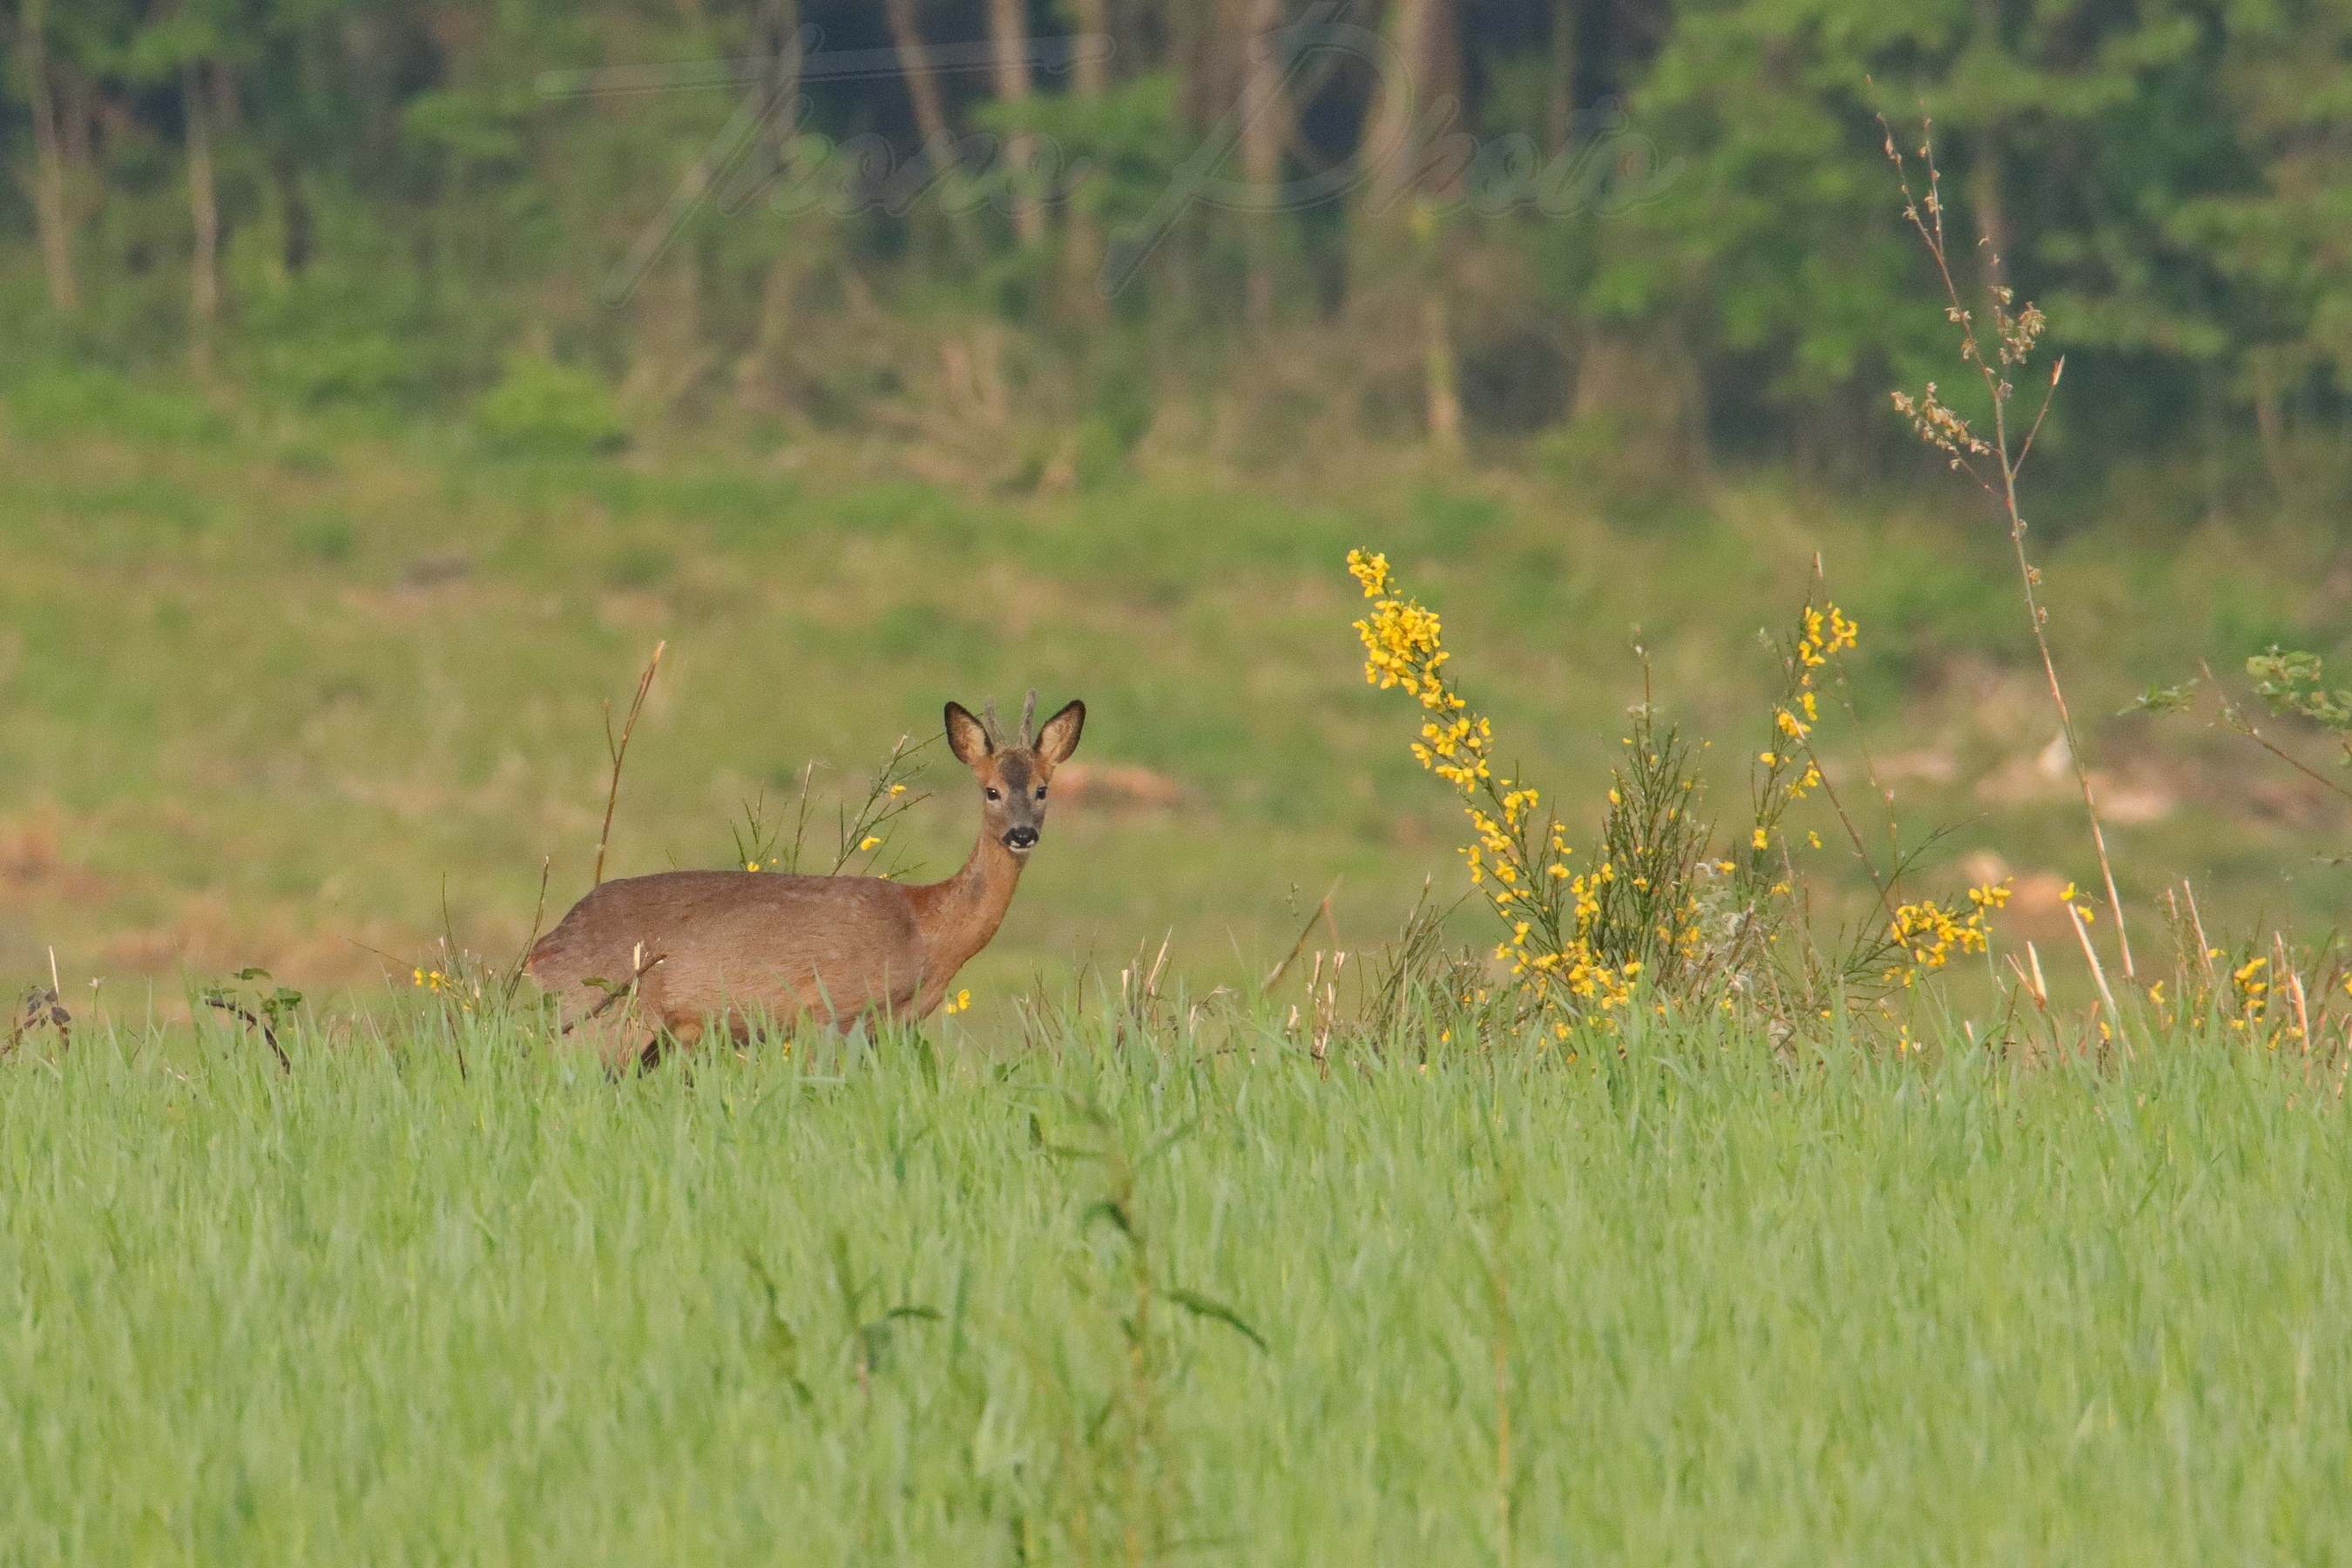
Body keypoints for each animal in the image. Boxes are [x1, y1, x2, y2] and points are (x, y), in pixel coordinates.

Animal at [526, 691, 1082, 1062]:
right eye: (991, 790)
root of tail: (545, 947)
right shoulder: (835, 1010)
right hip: (598, 1018)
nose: (1021, 834)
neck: (926, 928)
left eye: (1042, 789)